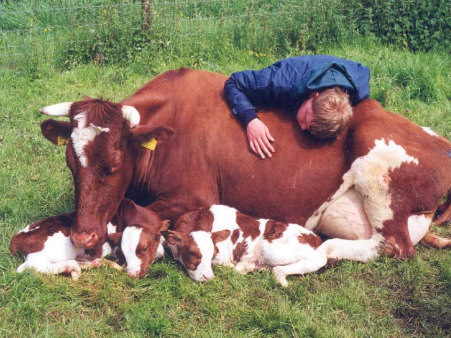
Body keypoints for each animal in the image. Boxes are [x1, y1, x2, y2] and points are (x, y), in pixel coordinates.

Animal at [39, 68, 451, 264]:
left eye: (114, 164)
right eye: (71, 165)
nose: (83, 238)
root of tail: (439, 142)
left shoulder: (195, 195)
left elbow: (135, 215)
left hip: (376, 172)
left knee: (394, 246)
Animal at [164, 203, 326, 286]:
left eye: (211, 254)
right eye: (192, 253)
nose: (208, 277)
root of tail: (316, 237)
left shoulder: (223, 254)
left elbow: (224, 263)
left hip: (272, 249)